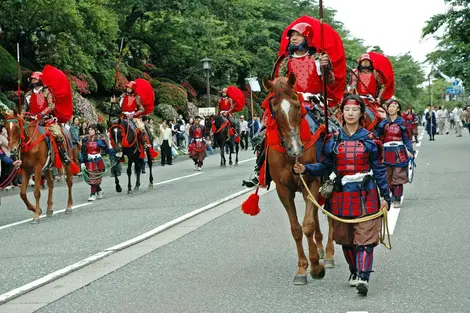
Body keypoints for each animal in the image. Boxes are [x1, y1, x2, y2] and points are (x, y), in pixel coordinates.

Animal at [264, 73, 334, 286]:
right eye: (274, 109)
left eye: (296, 105)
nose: (296, 148)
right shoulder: (283, 189)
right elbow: (296, 228)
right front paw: (302, 268)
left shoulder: (311, 181)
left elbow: (308, 225)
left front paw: (316, 267)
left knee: (330, 216)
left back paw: (328, 255)